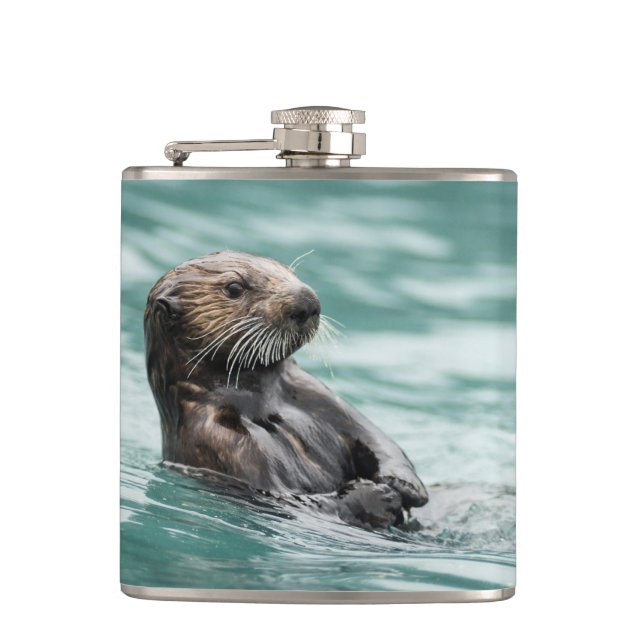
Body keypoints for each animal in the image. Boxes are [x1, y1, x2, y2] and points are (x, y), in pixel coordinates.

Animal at [144, 251, 428, 528]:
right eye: (234, 287)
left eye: (290, 272)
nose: (307, 300)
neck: (262, 403)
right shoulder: (219, 441)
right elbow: (292, 500)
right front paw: (379, 496)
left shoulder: (316, 395)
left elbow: (376, 439)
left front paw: (404, 484)